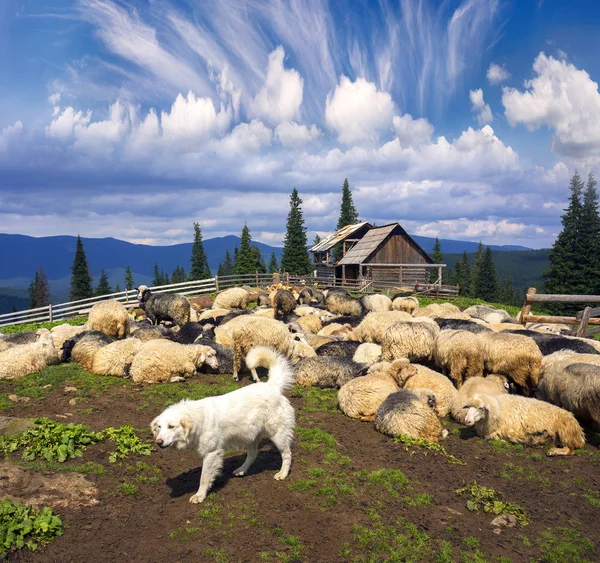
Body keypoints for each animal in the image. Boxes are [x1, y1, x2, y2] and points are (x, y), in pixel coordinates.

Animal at [150, 346, 296, 504]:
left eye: (171, 426)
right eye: (159, 427)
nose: (158, 442)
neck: (198, 420)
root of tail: (271, 386)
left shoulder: (211, 453)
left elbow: (203, 478)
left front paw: (200, 495)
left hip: (277, 434)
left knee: (287, 454)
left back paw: (282, 473)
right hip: (250, 435)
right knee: (252, 454)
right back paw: (242, 470)